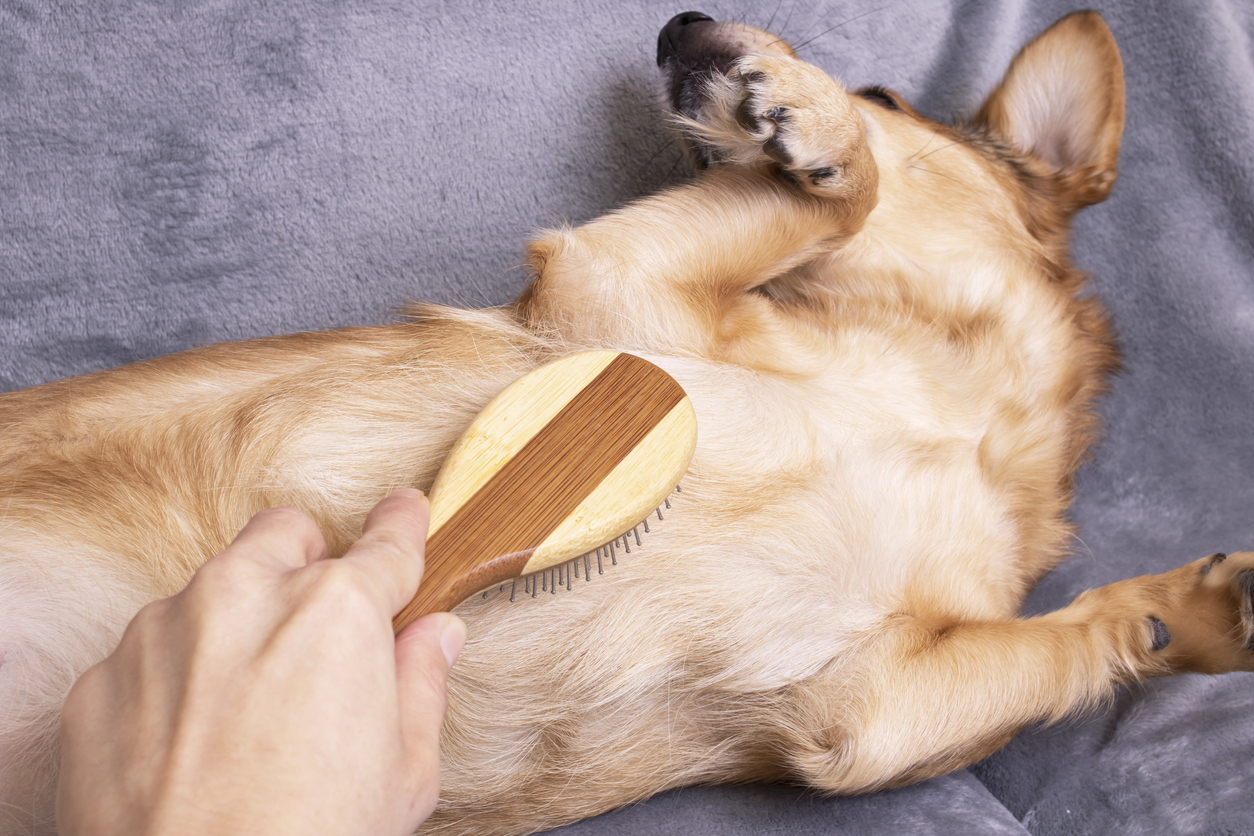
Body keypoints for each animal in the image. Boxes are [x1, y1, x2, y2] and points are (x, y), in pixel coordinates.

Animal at [2, 8, 1254, 836]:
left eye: (893, 94)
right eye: (703, 154)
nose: (680, 23)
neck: (940, 403)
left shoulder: (874, 709)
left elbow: (1074, 636)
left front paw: (1189, 610)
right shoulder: (614, 284)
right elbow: (851, 195)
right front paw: (808, 123)